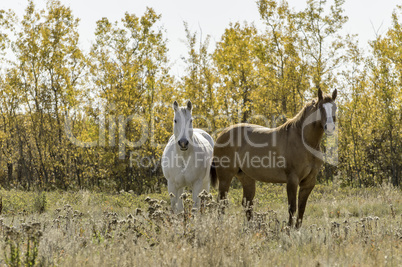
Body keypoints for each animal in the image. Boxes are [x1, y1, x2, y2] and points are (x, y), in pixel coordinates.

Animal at [212, 89, 338, 227]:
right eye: (321, 107)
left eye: (335, 107)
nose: (330, 127)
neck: (304, 141)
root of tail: (222, 134)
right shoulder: (292, 180)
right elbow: (292, 207)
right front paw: (289, 229)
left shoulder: (309, 182)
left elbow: (301, 209)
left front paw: (297, 230)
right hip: (225, 176)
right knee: (222, 202)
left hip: (246, 177)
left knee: (247, 204)